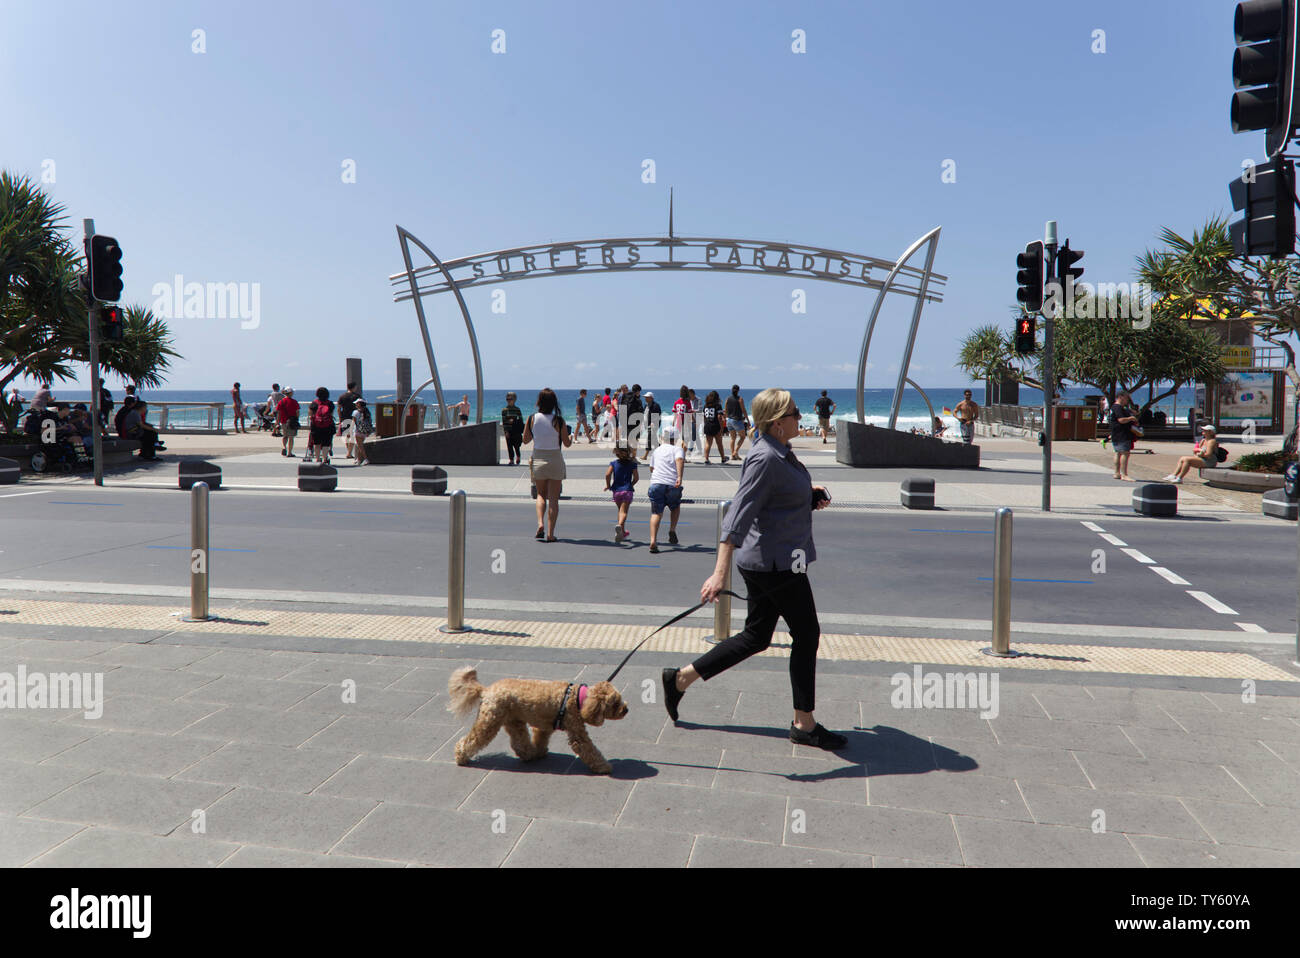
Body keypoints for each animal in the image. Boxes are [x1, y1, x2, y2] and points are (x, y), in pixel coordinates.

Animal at [447, 670, 629, 774]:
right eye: (615, 703)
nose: (626, 709)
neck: (578, 699)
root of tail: (486, 690)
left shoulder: (543, 726)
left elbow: (541, 738)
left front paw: (541, 751)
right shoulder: (577, 732)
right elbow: (589, 750)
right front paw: (603, 767)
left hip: (514, 720)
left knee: (519, 743)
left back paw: (530, 755)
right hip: (489, 721)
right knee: (471, 740)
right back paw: (461, 756)